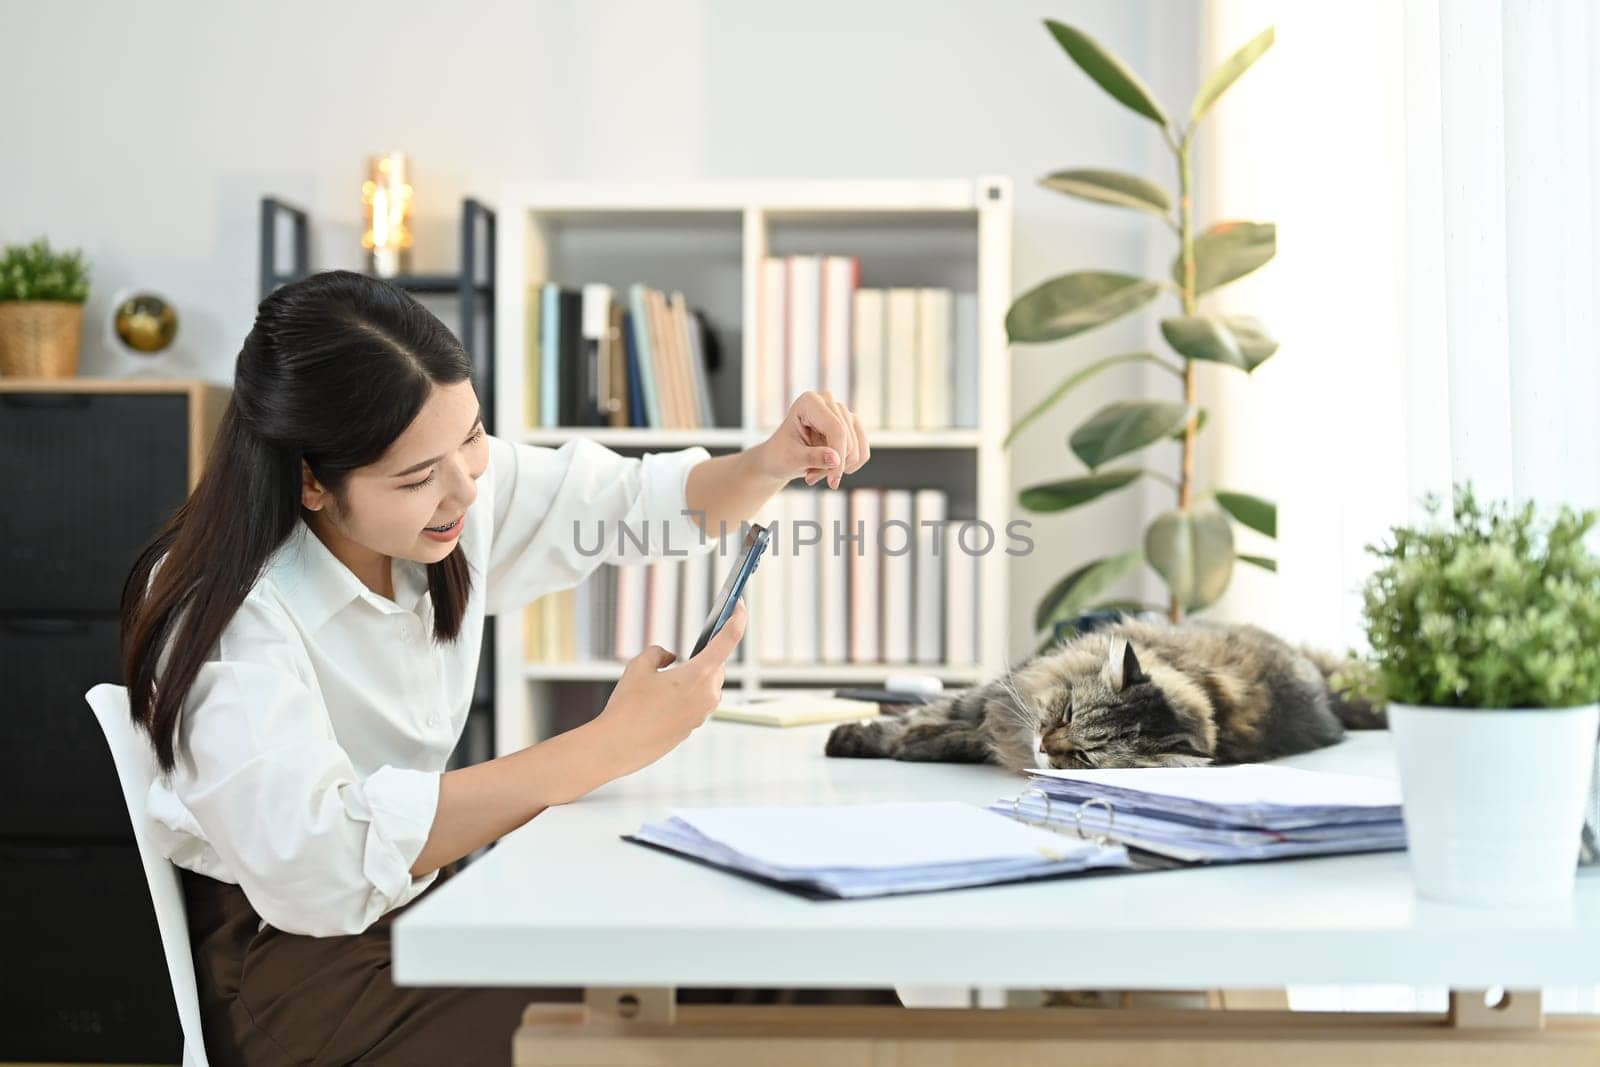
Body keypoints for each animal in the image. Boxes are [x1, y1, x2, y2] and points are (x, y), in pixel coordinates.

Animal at [825, 617, 1376, 777]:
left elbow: (951, 736)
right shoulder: (991, 697)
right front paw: (851, 737)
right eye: (1068, 712)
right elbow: (921, 716)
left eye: (1085, 756)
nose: (1044, 744)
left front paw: (915, 743)